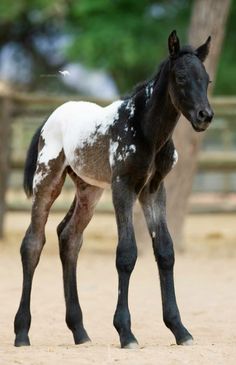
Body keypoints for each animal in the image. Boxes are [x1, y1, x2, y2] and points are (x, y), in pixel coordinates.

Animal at [14, 30, 214, 346]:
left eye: (207, 80)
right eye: (181, 77)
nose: (204, 116)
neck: (145, 129)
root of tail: (49, 117)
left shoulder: (154, 189)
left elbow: (165, 252)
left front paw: (180, 330)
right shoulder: (123, 186)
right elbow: (126, 254)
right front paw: (126, 332)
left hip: (89, 191)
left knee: (69, 238)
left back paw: (80, 332)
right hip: (47, 181)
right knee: (33, 244)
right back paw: (22, 333)